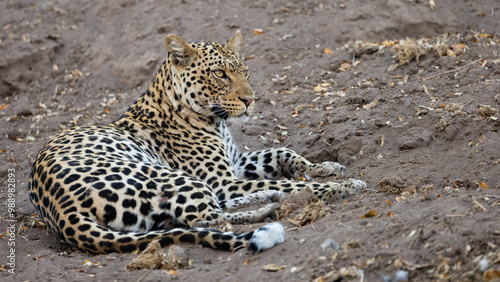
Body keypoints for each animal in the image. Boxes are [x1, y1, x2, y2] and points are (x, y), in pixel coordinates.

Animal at [28, 32, 368, 253]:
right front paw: (343, 186)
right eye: (220, 74)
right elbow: (293, 183)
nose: (250, 100)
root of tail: (61, 212)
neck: (215, 120)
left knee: (192, 218)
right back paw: (268, 208)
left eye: (245, 71)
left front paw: (325, 166)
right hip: (166, 176)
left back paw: (266, 201)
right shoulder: (223, 180)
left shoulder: (235, 164)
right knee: (207, 218)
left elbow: (280, 152)